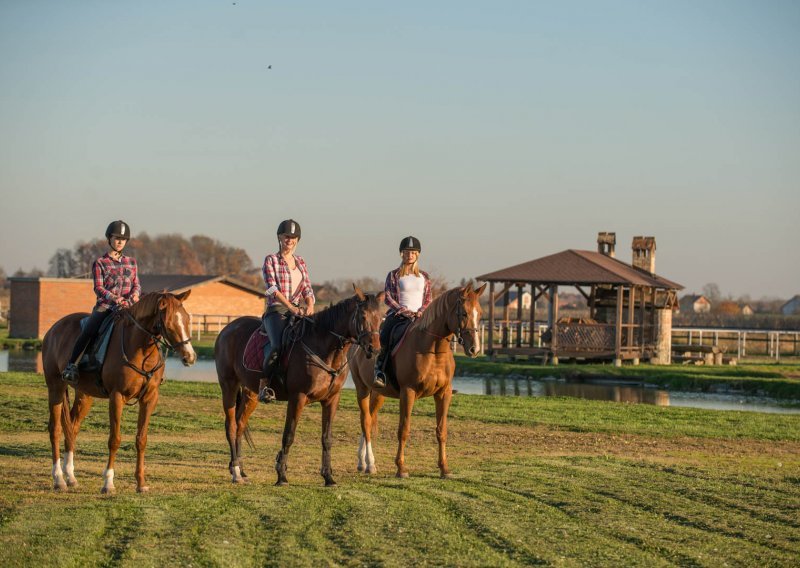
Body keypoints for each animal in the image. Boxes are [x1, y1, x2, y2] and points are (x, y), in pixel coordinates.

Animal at [41, 292, 197, 492]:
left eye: (186, 319)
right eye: (169, 323)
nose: (190, 357)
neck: (140, 350)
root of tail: (54, 329)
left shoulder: (149, 399)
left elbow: (141, 439)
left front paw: (141, 483)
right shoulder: (117, 397)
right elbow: (114, 439)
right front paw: (108, 483)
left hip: (84, 395)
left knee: (72, 428)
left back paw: (71, 476)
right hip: (56, 388)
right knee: (55, 429)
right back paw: (59, 479)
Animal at [214, 286, 382, 486]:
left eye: (380, 317)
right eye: (363, 316)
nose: (375, 349)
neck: (323, 348)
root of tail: (228, 328)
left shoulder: (331, 400)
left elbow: (327, 438)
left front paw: (328, 477)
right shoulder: (298, 397)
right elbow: (289, 435)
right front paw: (281, 475)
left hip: (251, 393)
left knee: (240, 424)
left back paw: (240, 467)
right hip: (229, 386)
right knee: (231, 426)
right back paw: (236, 472)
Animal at [352, 282, 488, 478]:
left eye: (480, 313)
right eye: (463, 313)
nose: (474, 349)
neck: (433, 349)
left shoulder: (443, 393)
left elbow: (441, 430)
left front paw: (444, 468)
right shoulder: (408, 393)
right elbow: (404, 429)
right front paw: (401, 468)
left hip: (378, 394)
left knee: (369, 420)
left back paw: (365, 462)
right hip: (362, 389)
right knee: (365, 421)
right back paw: (366, 463)